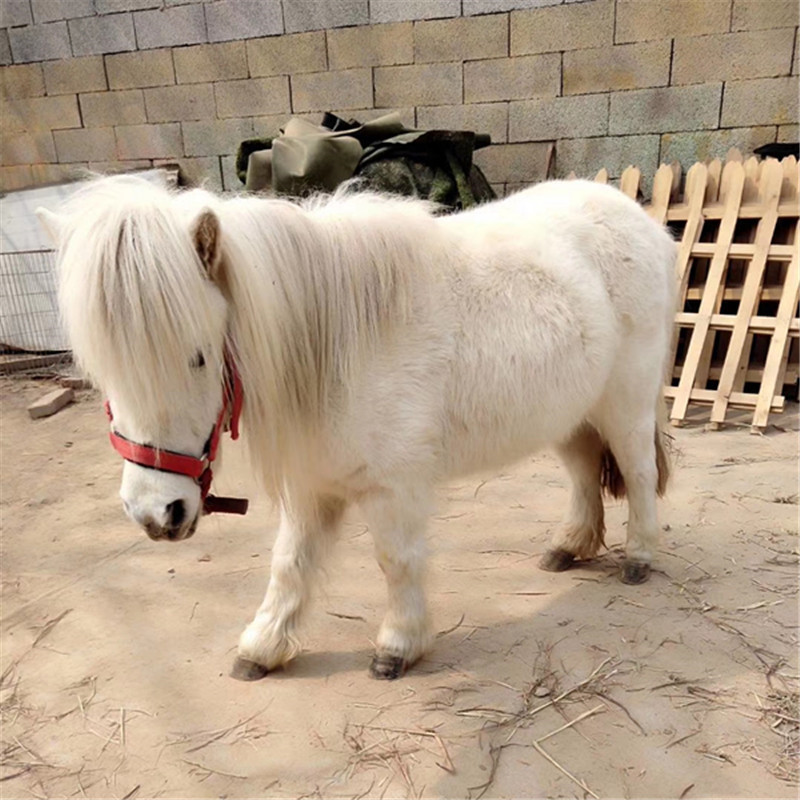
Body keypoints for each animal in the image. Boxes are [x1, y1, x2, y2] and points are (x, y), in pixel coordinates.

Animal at [38, 174, 677, 681]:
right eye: (104, 375)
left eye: (197, 357)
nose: (155, 515)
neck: (336, 341)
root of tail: (640, 221)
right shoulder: (312, 483)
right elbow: (289, 564)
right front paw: (262, 648)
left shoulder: (393, 487)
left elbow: (396, 561)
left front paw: (398, 646)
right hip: (571, 414)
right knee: (584, 472)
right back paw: (570, 547)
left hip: (625, 404)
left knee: (640, 473)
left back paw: (639, 558)